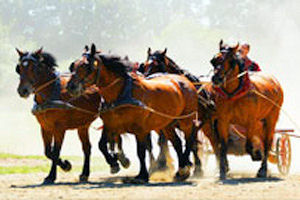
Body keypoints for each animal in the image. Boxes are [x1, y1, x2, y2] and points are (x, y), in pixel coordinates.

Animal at [14, 47, 129, 184]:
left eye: (34, 68)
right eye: (19, 68)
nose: (23, 90)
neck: (51, 93)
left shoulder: (59, 128)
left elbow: (56, 151)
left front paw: (52, 175)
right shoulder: (45, 127)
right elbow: (48, 152)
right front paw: (65, 165)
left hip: (106, 115)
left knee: (105, 140)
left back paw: (115, 161)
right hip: (83, 125)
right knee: (87, 148)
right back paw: (86, 173)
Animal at [67, 43, 199, 183]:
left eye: (86, 66)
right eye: (73, 65)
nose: (71, 86)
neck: (121, 93)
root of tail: (184, 80)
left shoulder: (140, 129)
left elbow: (141, 151)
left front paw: (142, 175)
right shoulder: (110, 124)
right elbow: (102, 145)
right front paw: (114, 163)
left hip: (186, 120)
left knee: (190, 141)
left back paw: (185, 166)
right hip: (166, 124)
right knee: (177, 143)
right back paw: (181, 171)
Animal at [204, 40, 284, 180]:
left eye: (230, 60)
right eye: (213, 61)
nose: (216, 79)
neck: (235, 94)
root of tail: (274, 81)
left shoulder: (251, 121)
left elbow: (249, 145)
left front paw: (256, 154)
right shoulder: (222, 121)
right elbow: (223, 146)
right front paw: (222, 171)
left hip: (271, 117)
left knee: (267, 142)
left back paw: (263, 170)